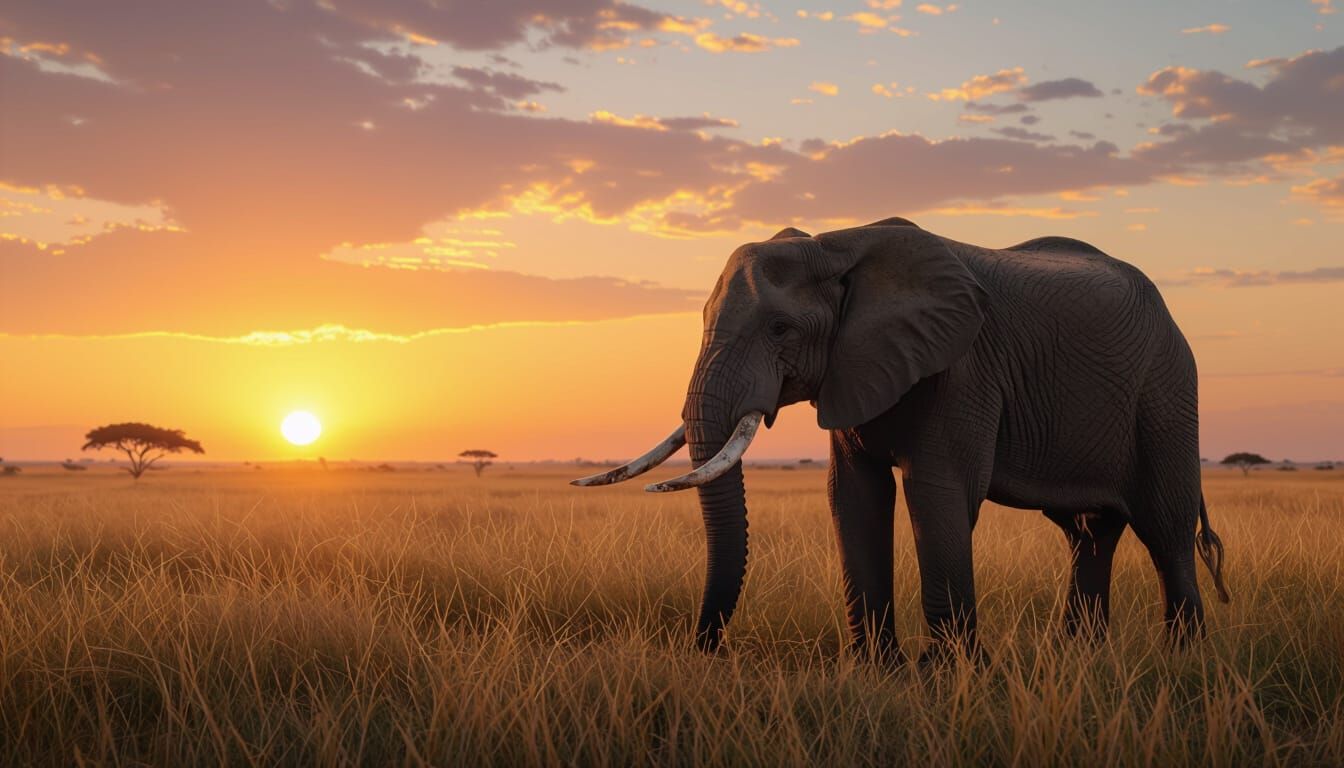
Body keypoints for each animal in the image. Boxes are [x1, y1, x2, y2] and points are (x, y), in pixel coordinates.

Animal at [573, 217, 1230, 665]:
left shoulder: (963, 367)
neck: (838, 244)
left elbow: (936, 493)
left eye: (780, 328)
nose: (708, 649)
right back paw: (1078, 657)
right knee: (1088, 532)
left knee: (1165, 530)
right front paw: (875, 671)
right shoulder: (852, 367)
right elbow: (854, 497)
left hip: (1167, 392)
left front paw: (946, 673)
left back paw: (1182, 660)